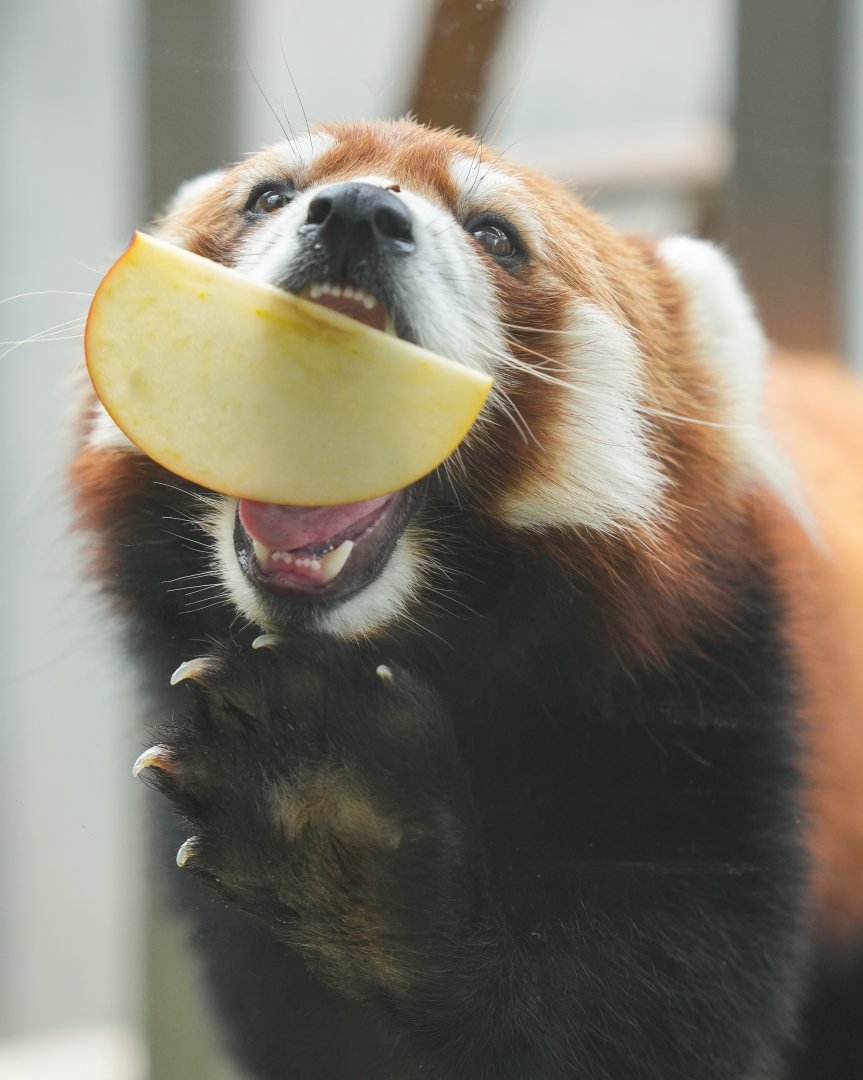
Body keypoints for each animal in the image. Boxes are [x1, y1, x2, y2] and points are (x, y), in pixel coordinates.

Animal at [71, 118, 863, 1079]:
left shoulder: (714, 707)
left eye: (495, 235)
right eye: (269, 195)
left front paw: (347, 827)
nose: (356, 212)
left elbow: (644, 1020)